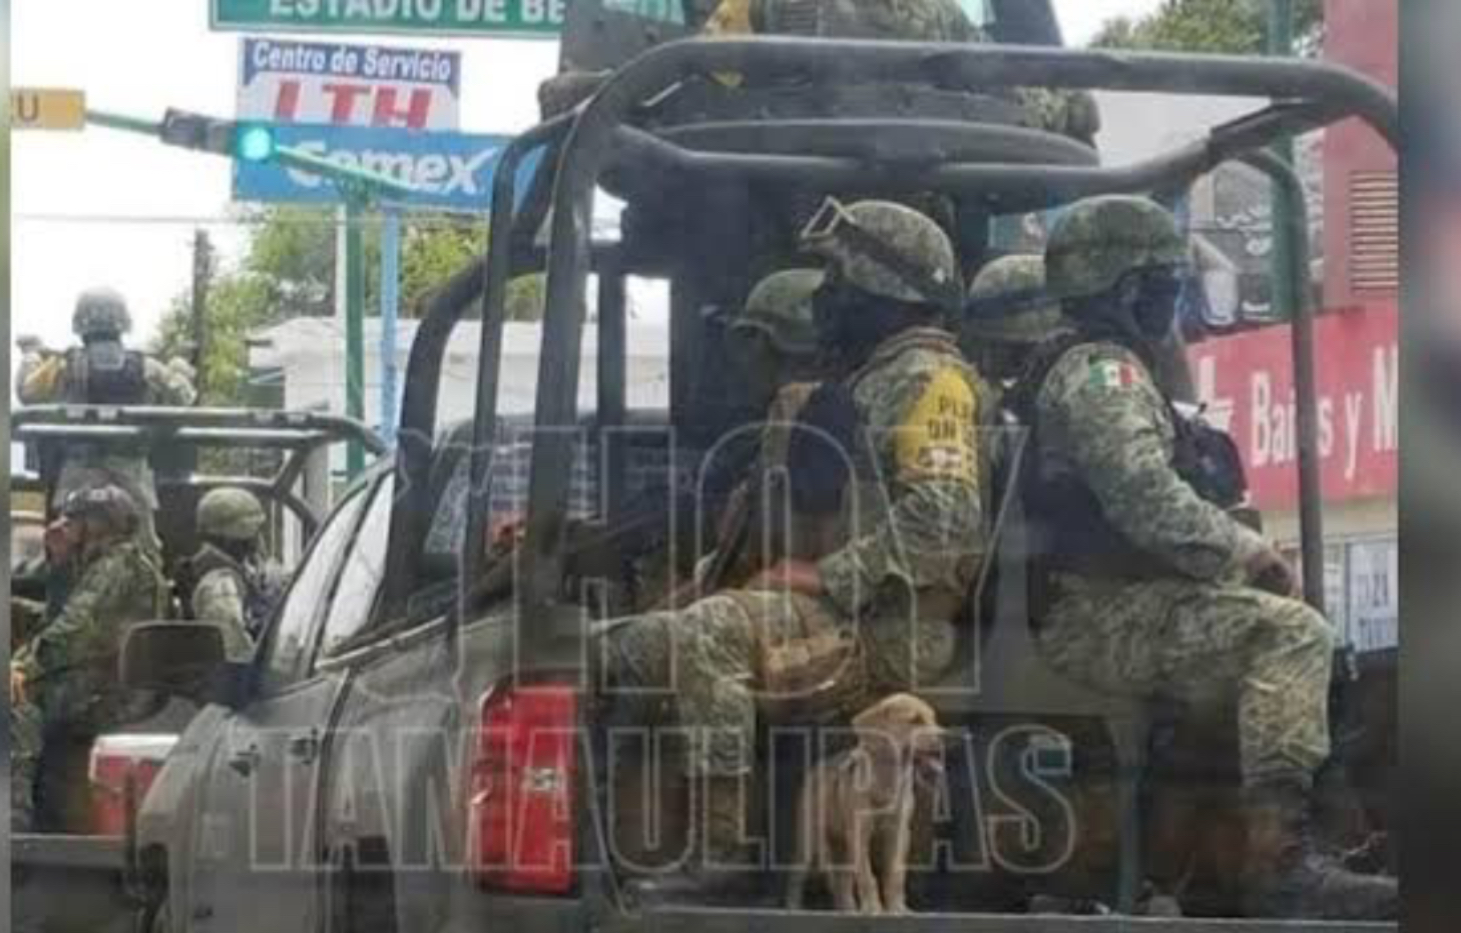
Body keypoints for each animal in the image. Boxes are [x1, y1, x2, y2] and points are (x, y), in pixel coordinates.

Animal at [788, 695, 946, 911]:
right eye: (915, 720)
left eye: (934, 718)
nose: (946, 737)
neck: (887, 778)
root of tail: (816, 767)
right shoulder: (859, 833)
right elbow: (866, 876)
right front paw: (873, 908)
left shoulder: (899, 833)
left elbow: (895, 874)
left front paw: (897, 908)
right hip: (809, 841)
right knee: (797, 876)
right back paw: (792, 907)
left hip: (842, 846)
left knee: (841, 882)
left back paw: (849, 910)